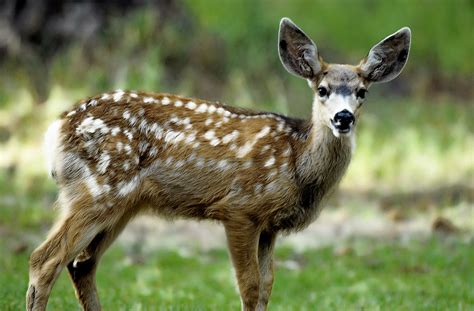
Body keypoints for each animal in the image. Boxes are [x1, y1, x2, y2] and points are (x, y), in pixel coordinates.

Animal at [26, 17, 412, 311]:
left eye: (362, 92)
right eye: (322, 90)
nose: (343, 118)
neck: (296, 162)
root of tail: (55, 130)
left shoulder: (270, 225)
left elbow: (268, 285)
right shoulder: (239, 208)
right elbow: (249, 286)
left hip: (121, 204)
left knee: (82, 265)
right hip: (97, 188)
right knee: (45, 260)